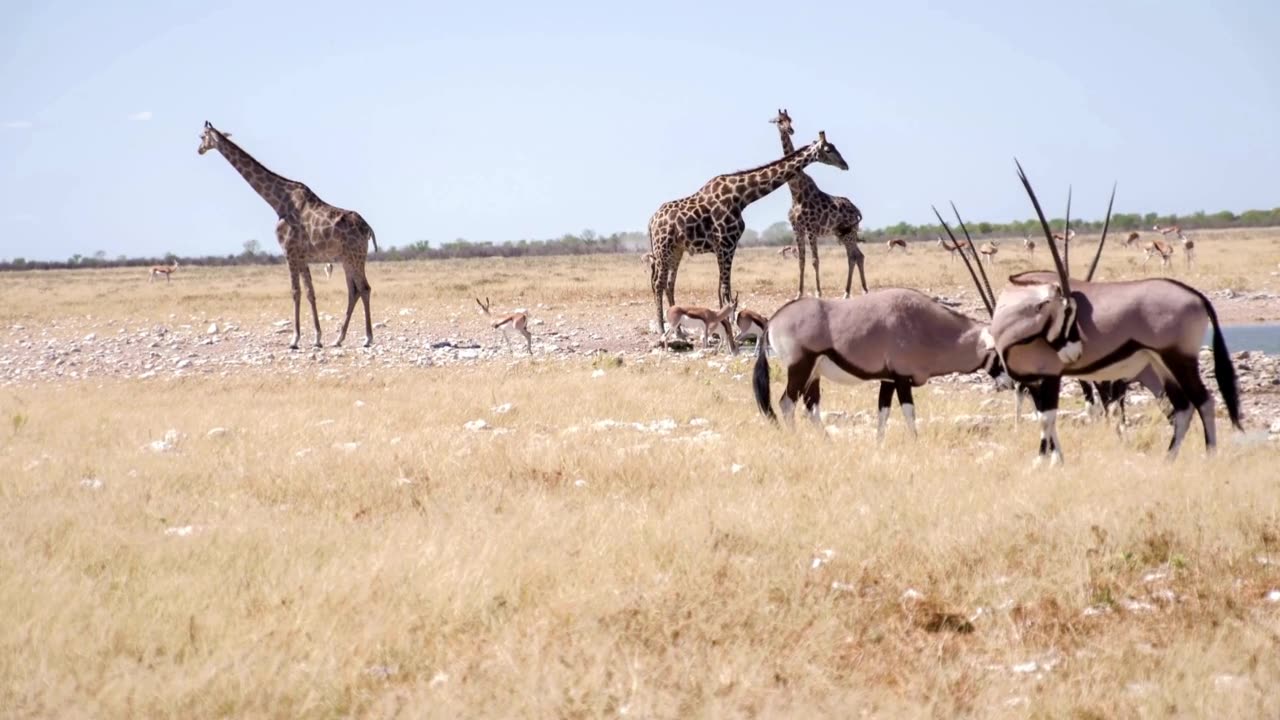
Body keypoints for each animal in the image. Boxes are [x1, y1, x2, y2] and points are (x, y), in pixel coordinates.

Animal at [194, 121, 373, 351]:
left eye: (202, 136)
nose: (199, 150)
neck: (278, 202)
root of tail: (368, 228)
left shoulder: (289, 253)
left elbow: (295, 292)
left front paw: (294, 340)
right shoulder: (302, 257)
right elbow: (310, 293)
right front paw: (317, 338)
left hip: (355, 256)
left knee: (364, 288)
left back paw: (367, 338)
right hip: (346, 259)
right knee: (354, 291)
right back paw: (338, 339)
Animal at [645, 130, 855, 333]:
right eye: (828, 149)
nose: (845, 165)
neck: (742, 197)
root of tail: (651, 221)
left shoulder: (726, 246)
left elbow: (722, 286)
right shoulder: (726, 243)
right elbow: (725, 288)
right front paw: (730, 326)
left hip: (676, 250)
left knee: (669, 284)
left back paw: (679, 331)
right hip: (663, 248)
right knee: (658, 283)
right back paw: (662, 328)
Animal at [768, 107, 870, 298]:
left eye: (790, 119)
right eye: (779, 120)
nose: (790, 130)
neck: (796, 191)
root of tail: (857, 210)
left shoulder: (811, 229)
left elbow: (815, 260)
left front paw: (818, 293)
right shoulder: (797, 229)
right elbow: (801, 261)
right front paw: (798, 294)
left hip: (849, 233)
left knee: (855, 256)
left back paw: (856, 292)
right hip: (841, 233)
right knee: (855, 256)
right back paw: (851, 292)